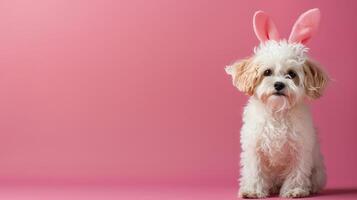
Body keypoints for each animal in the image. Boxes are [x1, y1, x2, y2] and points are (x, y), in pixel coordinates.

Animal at [225, 8, 328, 198]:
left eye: (291, 74)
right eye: (267, 72)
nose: (279, 84)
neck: (277, 112)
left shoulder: (300, 148)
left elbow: (296, 172)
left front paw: (294, 190)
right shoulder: (255, 147)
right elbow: (255, 171)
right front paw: (253, 190)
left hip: (318, 172)